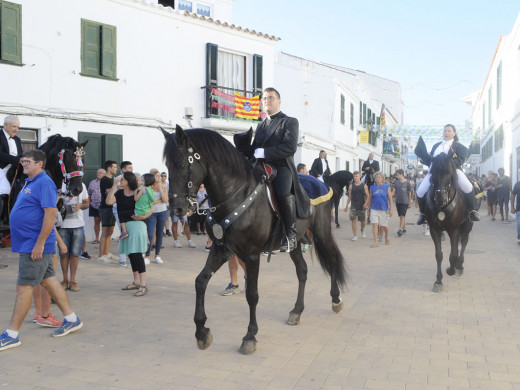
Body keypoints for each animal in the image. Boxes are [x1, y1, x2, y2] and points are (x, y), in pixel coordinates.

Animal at [162, 126, 350, 354]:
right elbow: (200, 281)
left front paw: (250, 336)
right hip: (294, 243)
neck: (235, 194)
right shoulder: (222, 249)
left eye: (181, 164)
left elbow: (252, 294)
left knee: (331, 260)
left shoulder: (251, 254)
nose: (177, 209)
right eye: (167, 165)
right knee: (302, 271)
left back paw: (336, 299)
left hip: (321, 233)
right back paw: (297, 311)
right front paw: (202, 332)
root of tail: (320, 183)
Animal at [424, 152, 474, 292]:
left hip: (467, 225)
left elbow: (453, 255)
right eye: (433, 173)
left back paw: (459, 266)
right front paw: (438, 281)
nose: (441, 198)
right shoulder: (435, 230)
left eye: (449, 173)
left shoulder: (454, 229)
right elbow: (439, 255)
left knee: (463, 243)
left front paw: (450, 270)